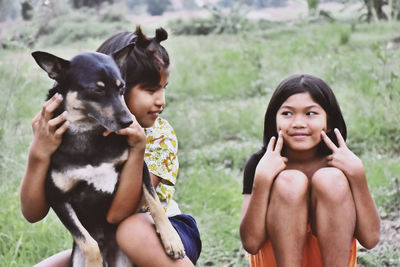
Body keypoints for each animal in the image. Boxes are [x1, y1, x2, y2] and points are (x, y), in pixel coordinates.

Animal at [32, 45, 185, 266]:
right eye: (97, 90)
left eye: (122, 88)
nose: (129, 121)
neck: (87, 134)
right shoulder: (57, 198)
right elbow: (88, 242)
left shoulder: (141, 168)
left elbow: (155, 203)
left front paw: (171, 239)